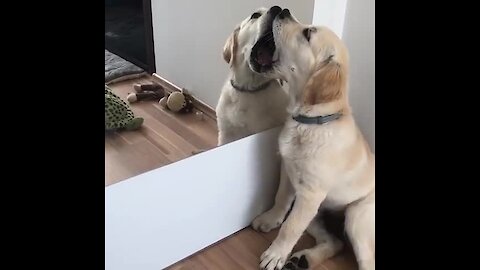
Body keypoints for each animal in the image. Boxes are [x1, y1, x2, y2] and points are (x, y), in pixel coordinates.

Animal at [249, 6, 376, 270]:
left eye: (308, 34)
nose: (282, 10)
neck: (311, 121)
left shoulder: (310, 194)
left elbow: (291, 227)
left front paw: (275, 254)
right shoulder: (289, 173)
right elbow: (280, 199)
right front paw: (270, 219)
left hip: (356, 216)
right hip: (319, 214)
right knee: (336, 243)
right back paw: (302, 259)